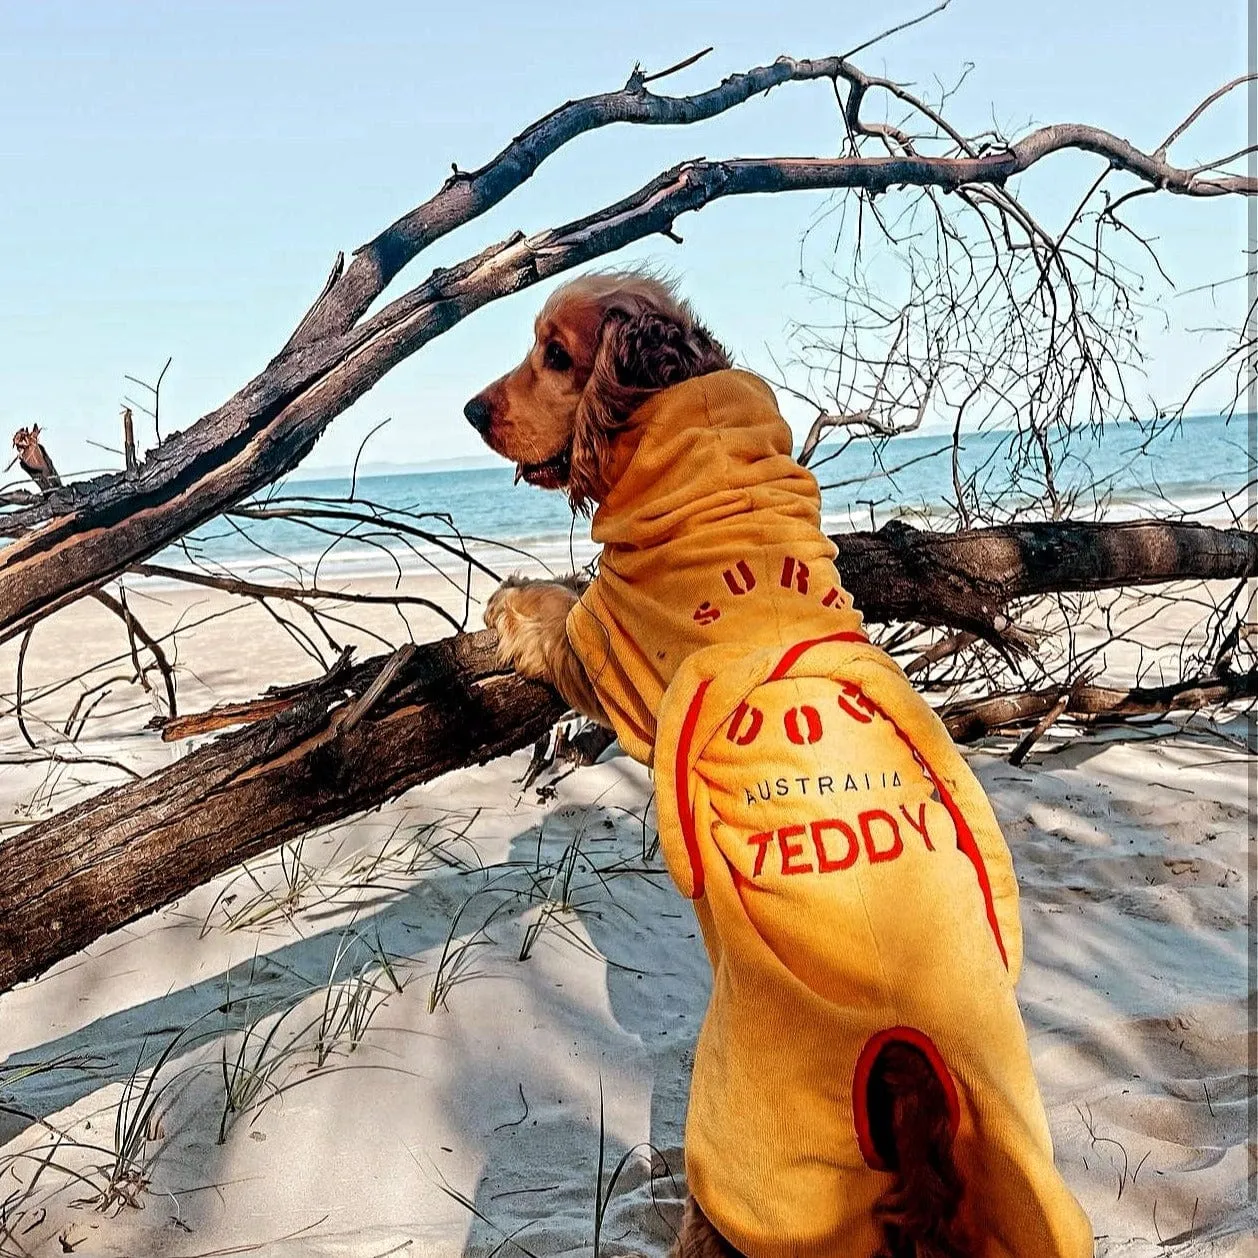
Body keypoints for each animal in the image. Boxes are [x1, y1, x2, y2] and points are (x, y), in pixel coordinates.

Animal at [465, 270, 1091, 1252]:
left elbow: (559, 609)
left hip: (745, 1154)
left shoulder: (611, 649)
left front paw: (510, 598)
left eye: (555, 354)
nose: (469, 409)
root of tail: (910, 1080)